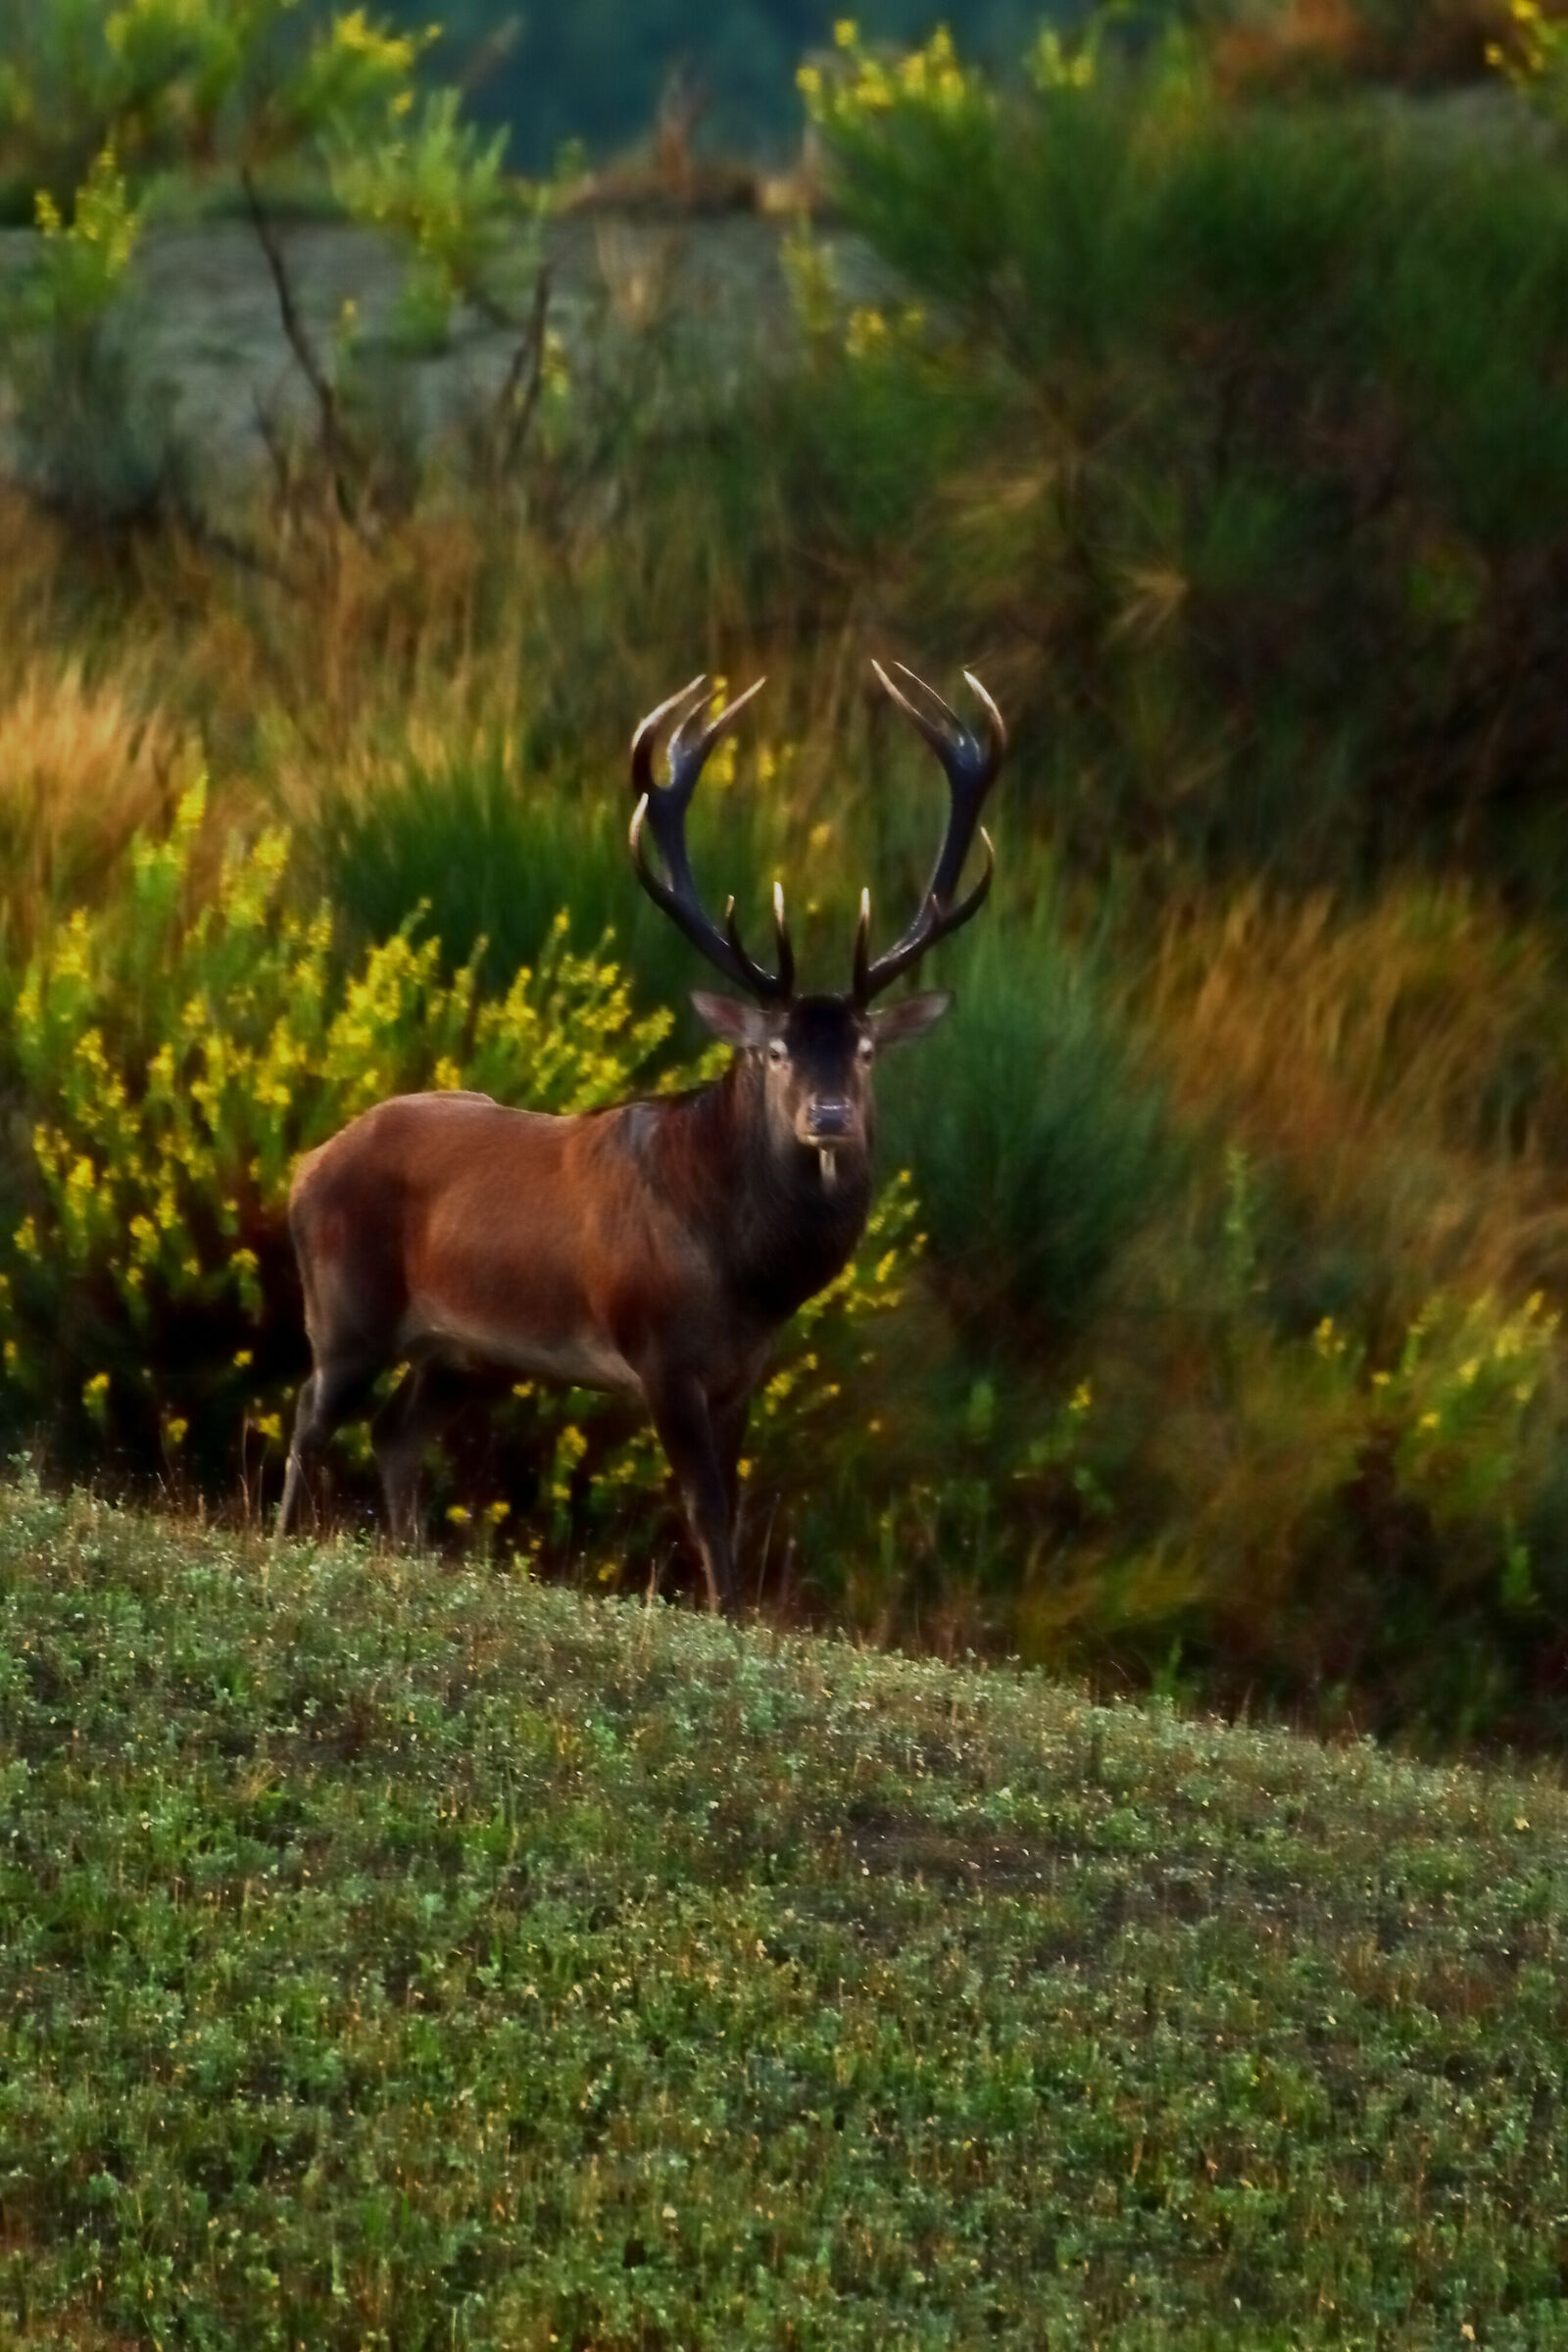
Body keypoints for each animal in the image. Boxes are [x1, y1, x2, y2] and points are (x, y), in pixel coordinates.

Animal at [277, 662, 1006, 1610]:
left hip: (467, 1350)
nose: (830, 1117)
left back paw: (410, 1555)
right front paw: (728, 1612)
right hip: (347, 1307)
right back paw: (284, 1539)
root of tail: (305, 1166)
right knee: (308, 1415)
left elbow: (733, 1502)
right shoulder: (660, 1352)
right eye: (774, 1049)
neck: (748, 1278)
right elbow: (704, 1506)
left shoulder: (741, 1373)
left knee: (397, 1434)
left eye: (866, 1049)